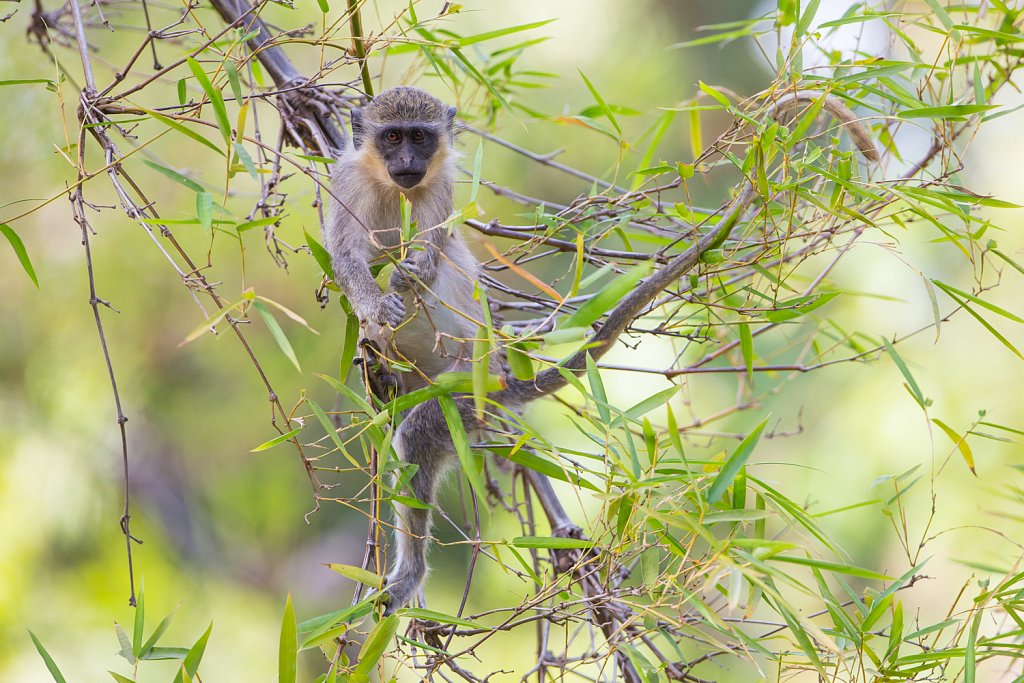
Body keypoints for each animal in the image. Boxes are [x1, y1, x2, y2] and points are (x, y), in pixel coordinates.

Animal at [323, 83, 876, 614]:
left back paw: (410, 572)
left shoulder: (441, 187)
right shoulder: (345, 184)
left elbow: (431, 253)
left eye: (420, 137)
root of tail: (497, 380)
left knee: (417, 435)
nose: (407, 162)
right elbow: (345, 257)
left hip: (460, 397)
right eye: (392, 137)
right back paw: (378, 369)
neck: (391, 186)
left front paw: (406, 276)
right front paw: (375, 304)